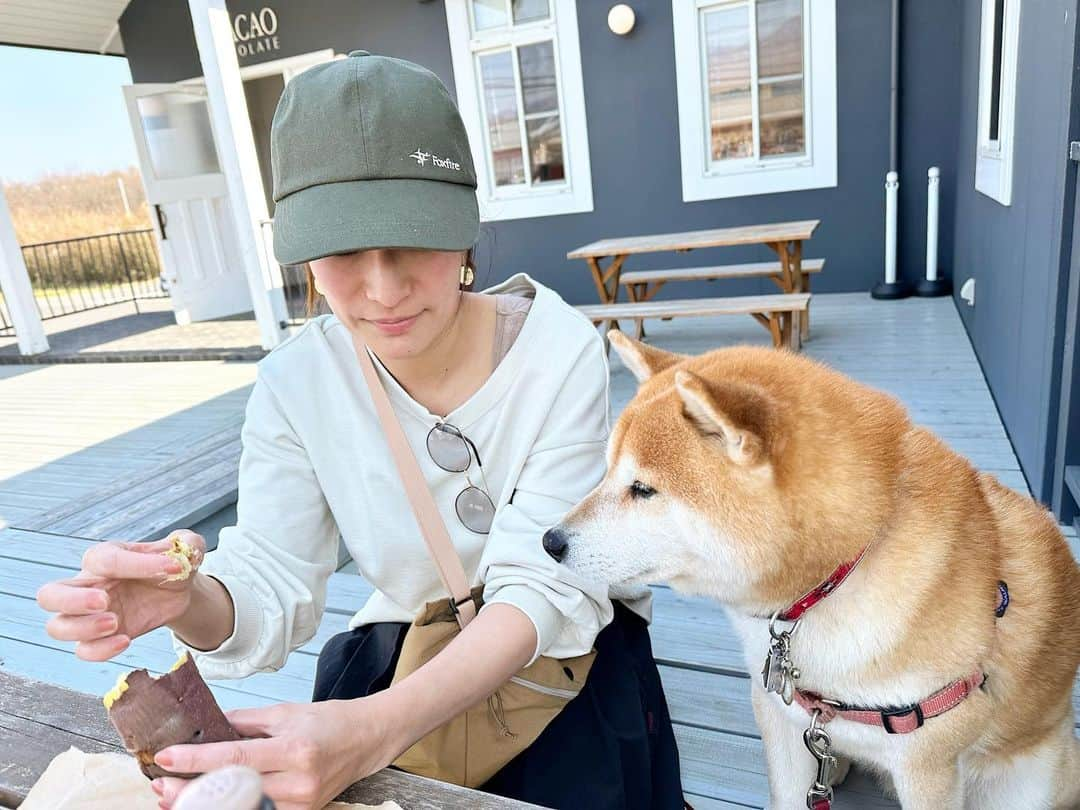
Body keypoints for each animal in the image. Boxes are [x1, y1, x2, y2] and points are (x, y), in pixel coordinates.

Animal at [544, 332, 1080, 810]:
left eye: (643, 489)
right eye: (607, 471)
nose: (549, 541)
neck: (839, 576)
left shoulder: (926, 765)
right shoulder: (776, 713)